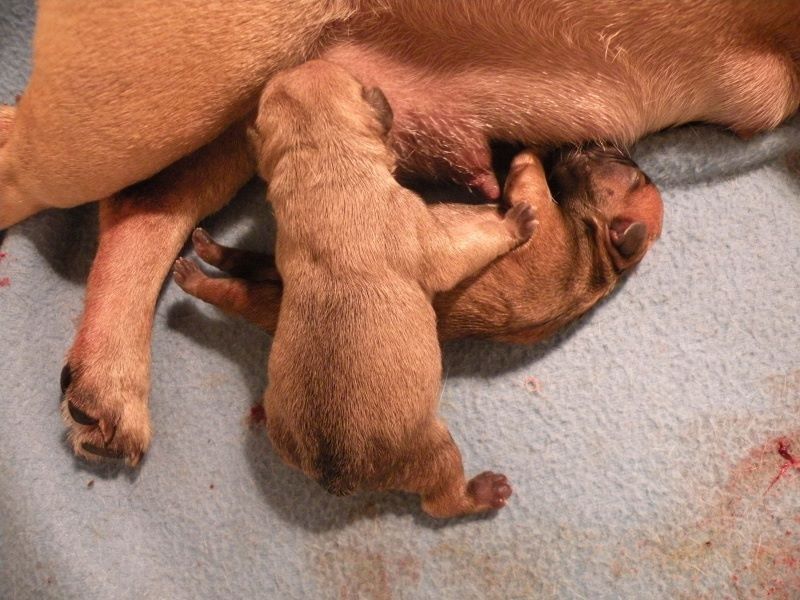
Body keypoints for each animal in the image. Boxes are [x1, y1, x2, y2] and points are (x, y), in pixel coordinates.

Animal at [18, 1, 791, 463]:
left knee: (152, 209)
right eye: (616, 165)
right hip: (149, 109)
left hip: (239, 110)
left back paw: (119, 368)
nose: (585, 149)